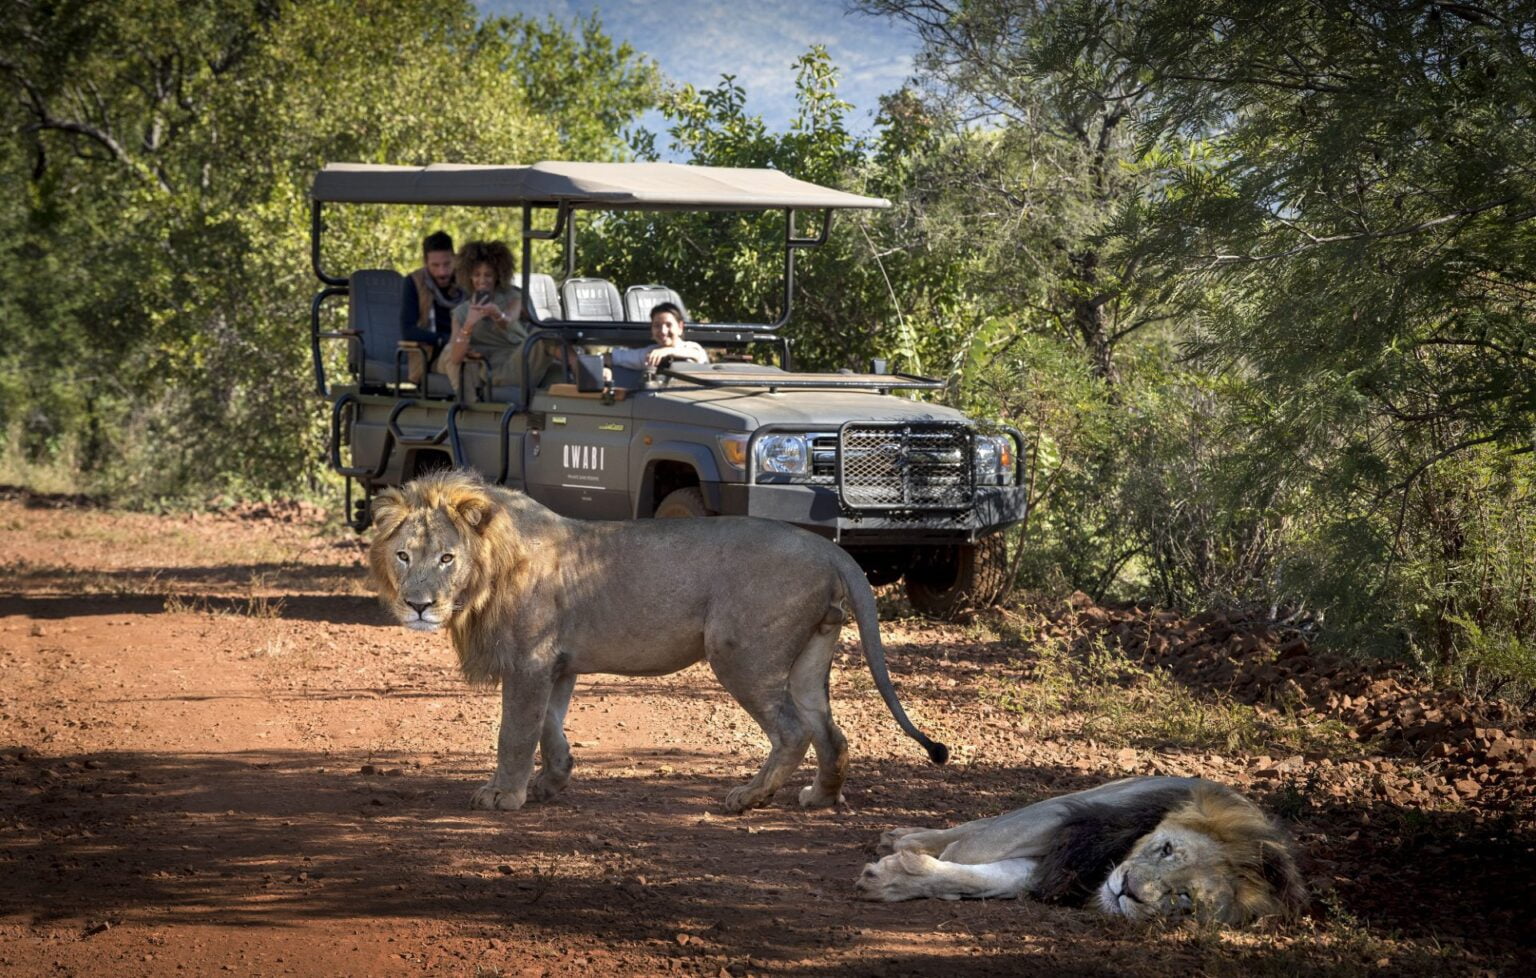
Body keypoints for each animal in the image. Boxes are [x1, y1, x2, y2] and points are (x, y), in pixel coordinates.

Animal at [371, 469, 946, 810]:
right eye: (404, 556)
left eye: (447, 558)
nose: (418, 605)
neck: (487, 573)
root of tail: (829, 549)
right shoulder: (559, 664)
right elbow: (549, 728)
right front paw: (553, 782)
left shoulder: (531, 660)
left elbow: (515, 733)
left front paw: (503, 795)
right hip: (811, 655)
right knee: (831, 733)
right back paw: (818, 798)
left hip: (741, 654)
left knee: (793, 730)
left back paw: (748, 797)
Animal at [860, 773, 1302, 921]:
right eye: (1166, 849)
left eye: (1184, 899)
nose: (1128, 891)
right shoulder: (1071, 821)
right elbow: (970, 849)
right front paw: (908, 856)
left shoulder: (1057, 871)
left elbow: (983, 878)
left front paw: (894, 880)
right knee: (978, 826)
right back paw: (903, 836)